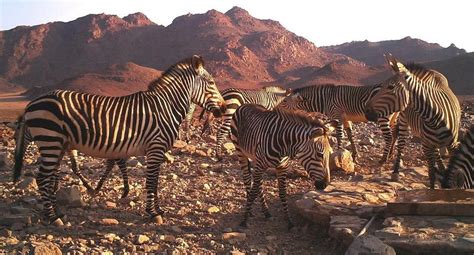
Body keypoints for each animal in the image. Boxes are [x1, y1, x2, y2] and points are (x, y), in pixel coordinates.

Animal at [12, 55, 224, 225]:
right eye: (211, 83)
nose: (223, 109)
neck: (165, 107)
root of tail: (31, 103)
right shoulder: (155, 148)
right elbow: (151, 182)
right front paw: (153, 213)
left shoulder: (155, 150)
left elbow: (154, 182)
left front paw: (157, 210)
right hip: (50, 141)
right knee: (43, 178)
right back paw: (54, 218)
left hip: (58, 145)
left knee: (49, 179)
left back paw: (57, 213)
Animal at [364, 53, 462, 188]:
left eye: (390, 87)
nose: (366, 110)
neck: (435, 118)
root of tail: (432, 72)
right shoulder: (426, 146)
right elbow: (431, 174)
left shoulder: (452, 145)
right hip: (404, 120)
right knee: (401, 144)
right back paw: (395, 172)